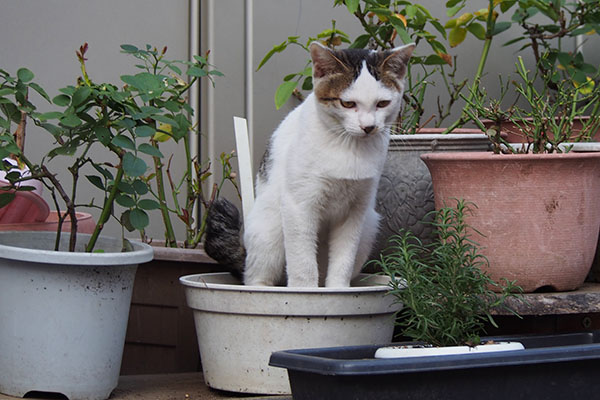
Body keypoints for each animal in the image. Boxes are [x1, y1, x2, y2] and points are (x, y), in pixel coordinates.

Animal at [204, 41, 414, 288]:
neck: (348, 148)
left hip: (369, 227)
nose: (368, 127)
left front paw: (337, 289)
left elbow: (343, 259)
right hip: (270, 230)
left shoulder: (356, 210)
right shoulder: (299, 205)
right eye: (347, 103)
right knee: (255, 277)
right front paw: (305, 290)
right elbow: (302, 261)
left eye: (382, 103)